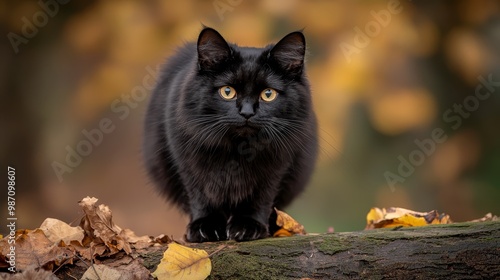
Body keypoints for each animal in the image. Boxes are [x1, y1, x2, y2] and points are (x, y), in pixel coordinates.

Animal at [143, 29, 318, 243]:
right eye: (227, 91)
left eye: (268, 94)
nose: (247, 112)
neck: (238, 149)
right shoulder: (187, 163)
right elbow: (201, 195)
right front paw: (206, 227)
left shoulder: (276, 168)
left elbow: (261, 197)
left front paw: (248, 226)